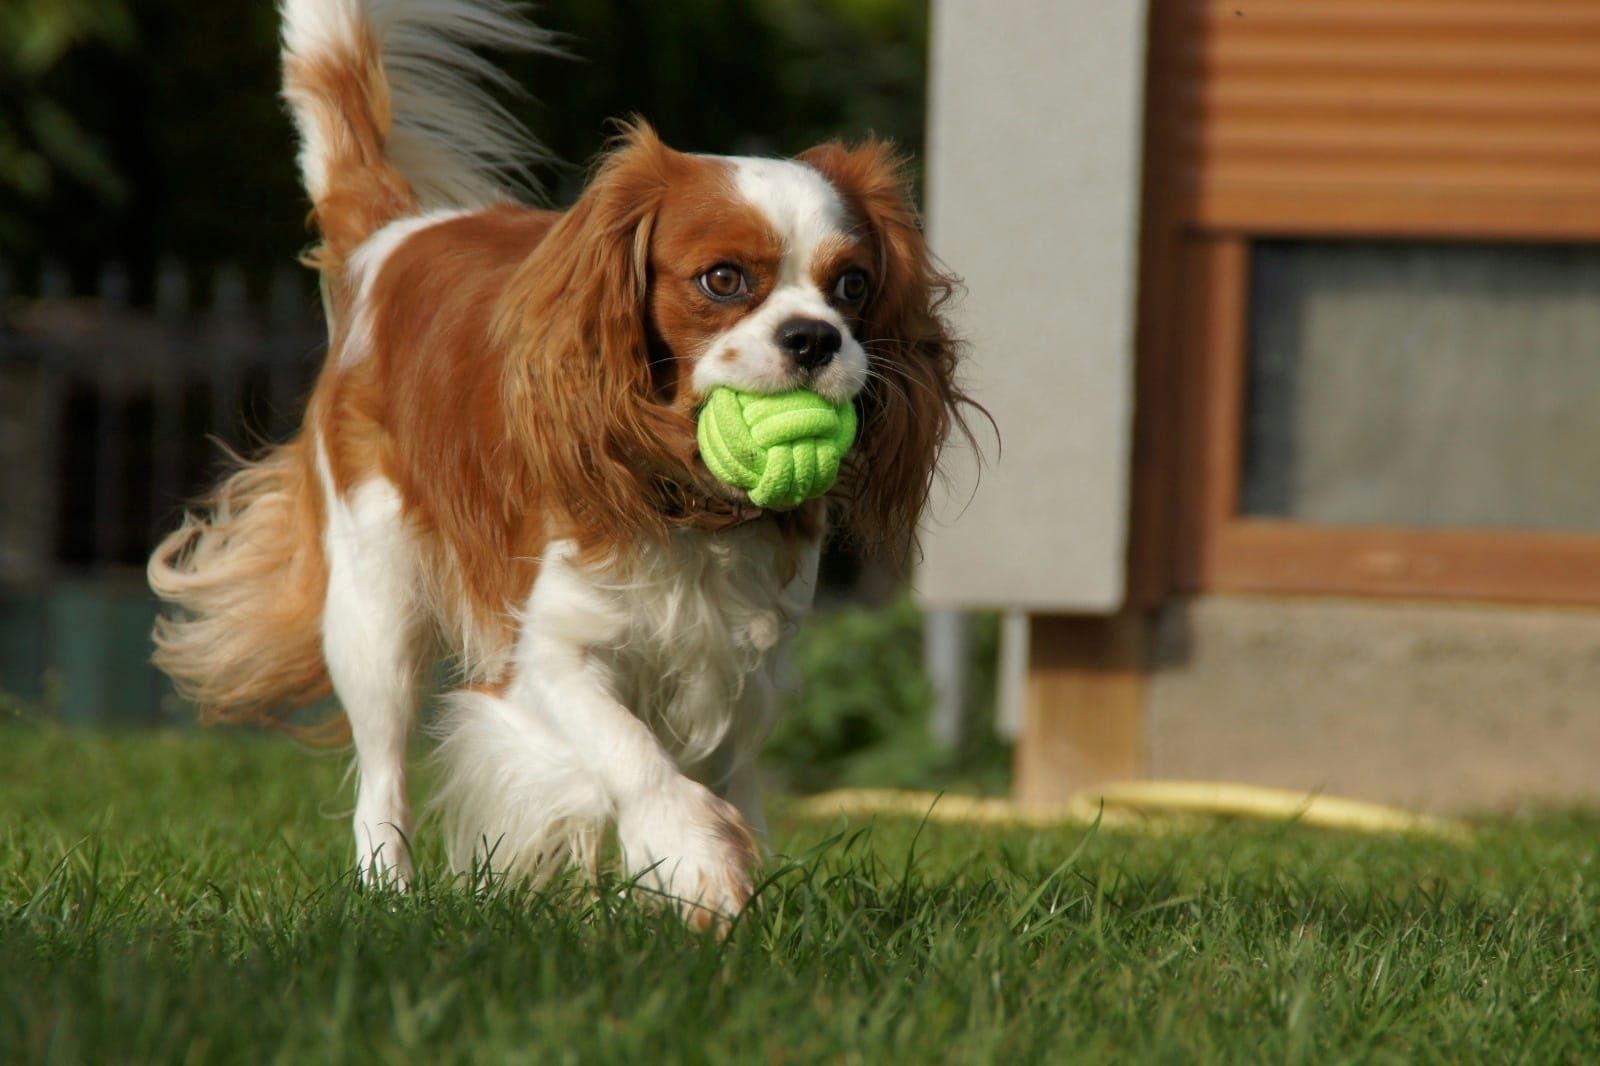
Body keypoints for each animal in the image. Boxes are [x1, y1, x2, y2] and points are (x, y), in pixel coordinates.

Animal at [150, 0, 966, 921]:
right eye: (722, 279)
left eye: (853, 286)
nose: (815, 338)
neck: (692, 505)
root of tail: (394, 236)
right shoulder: (544, 652)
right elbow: (631, 751)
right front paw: (695, 858)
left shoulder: (739, 667)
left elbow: (716, 770)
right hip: (374, 607)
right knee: (382, 772)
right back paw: (388, 894)